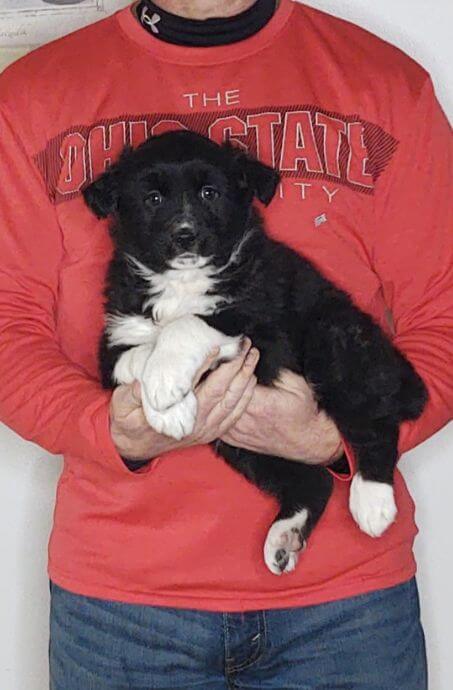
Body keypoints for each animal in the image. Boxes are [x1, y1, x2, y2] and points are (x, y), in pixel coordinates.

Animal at [83, 130, 426, 576]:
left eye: (210, 193)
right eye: (153, 198)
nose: (185, 235)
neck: (182, 282)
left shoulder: (260, 328)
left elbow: (187, 324)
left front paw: (166, 384)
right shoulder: (114, 341)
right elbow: (138, 354)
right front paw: (171, 406)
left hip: (334, 342)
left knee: (374, 421)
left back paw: (372, 501)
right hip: (244, 444)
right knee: (313, 481)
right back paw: (284, 537)